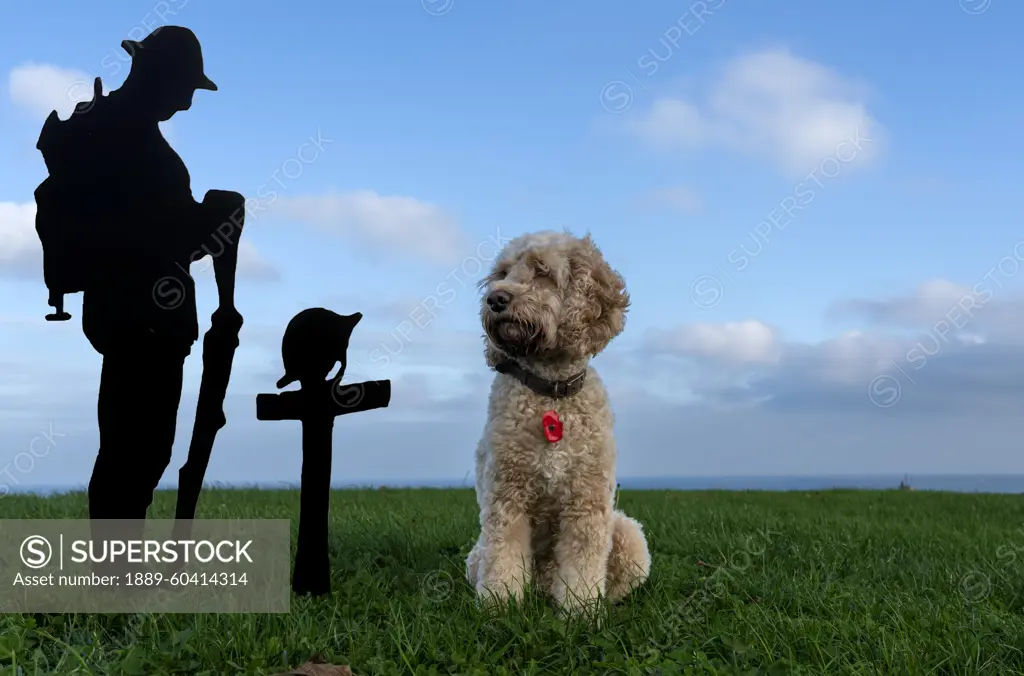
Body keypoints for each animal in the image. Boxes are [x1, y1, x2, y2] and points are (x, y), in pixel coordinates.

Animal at [464, 228, 647, 614]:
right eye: (502, 273)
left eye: (542, 272)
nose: (496, 299)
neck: (551, 393)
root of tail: (544, 585)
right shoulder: (506, 498)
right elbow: (503, 558)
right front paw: (500, 608)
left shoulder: (587, 503)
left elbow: (583, 563)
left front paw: (580, 612)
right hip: (475, 555)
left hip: (627, 532)